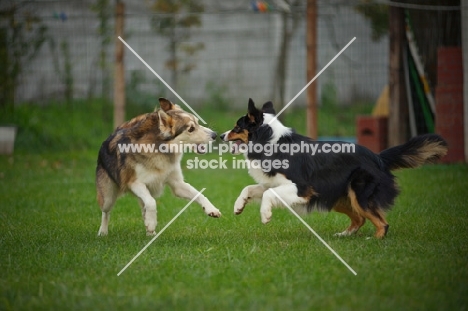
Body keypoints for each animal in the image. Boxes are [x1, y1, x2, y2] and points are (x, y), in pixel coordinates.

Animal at [221, 100, 448, 239]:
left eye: (237, 127)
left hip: (358, 192)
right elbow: (251, 188)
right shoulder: (276, 182)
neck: (269, 141)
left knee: (382, 222)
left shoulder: (302, 188)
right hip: (337, 195)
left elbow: (268, 194)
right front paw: (238, 206)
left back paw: (374, 239)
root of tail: (378, 157)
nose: (222, 136)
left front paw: (265, 215)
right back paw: (344, 236)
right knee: (360, 218)